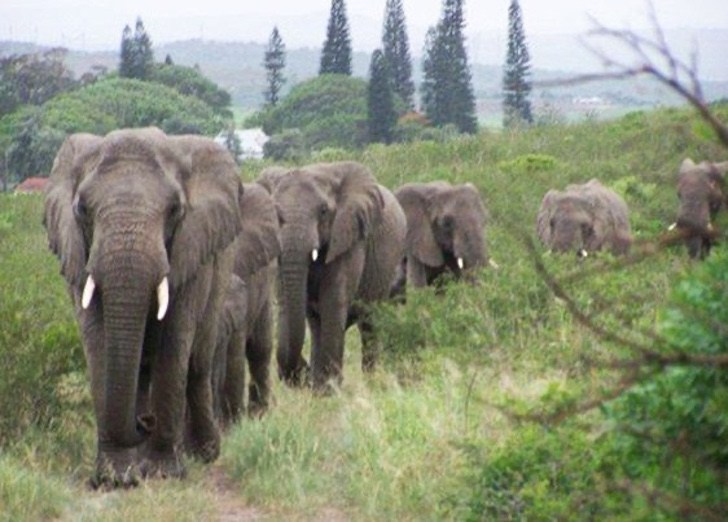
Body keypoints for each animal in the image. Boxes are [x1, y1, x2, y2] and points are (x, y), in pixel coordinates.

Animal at [45, 128, 245, 486]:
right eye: (82, 209)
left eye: (175, 210)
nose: (144, 423)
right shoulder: (79, 255)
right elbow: (98, 343)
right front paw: (115, 478)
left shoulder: (189, 253)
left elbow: (174, 343)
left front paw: (164, 474)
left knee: (197, 363)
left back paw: (203, 454)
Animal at [258, 160, 406, 388]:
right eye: (274, 213)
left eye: (323, 211)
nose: (303, 373)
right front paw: (321, 388)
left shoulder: (349, 236)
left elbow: (332, 301)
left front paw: (330, 390)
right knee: (316, 323)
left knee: (369, 323)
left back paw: (370, 382)